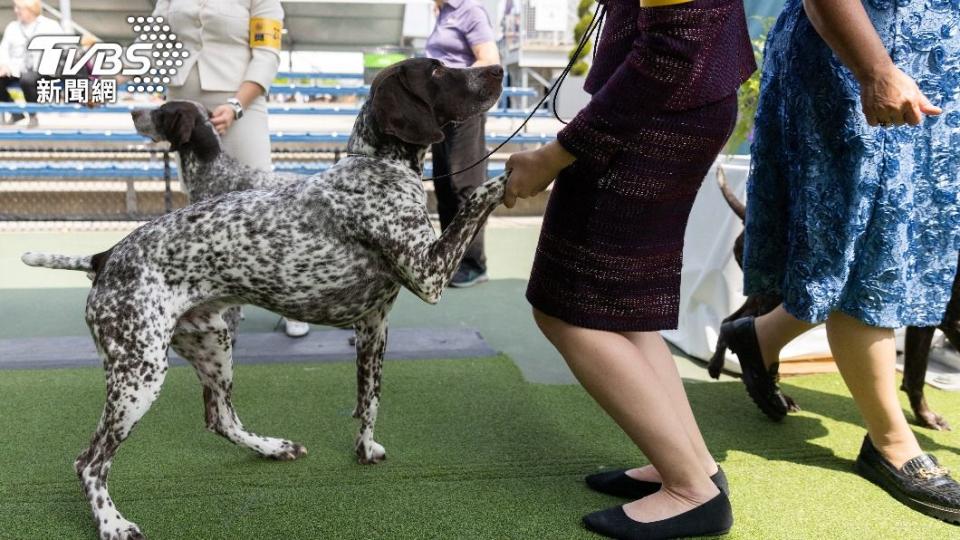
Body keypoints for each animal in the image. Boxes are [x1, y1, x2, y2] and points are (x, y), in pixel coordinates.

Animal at [22, 59, 506, 540]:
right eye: (438, 71)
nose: (498, 70)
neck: (378, 166)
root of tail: (105, 256)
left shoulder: (373, 327)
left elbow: (369, 401)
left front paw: (365, 450)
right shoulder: (430, 275)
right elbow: (480, 194)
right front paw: (512, 175)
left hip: (212, 346)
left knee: (220, 419)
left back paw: (272, 448)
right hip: (138, 375)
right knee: (89, 462)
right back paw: (112, 522)